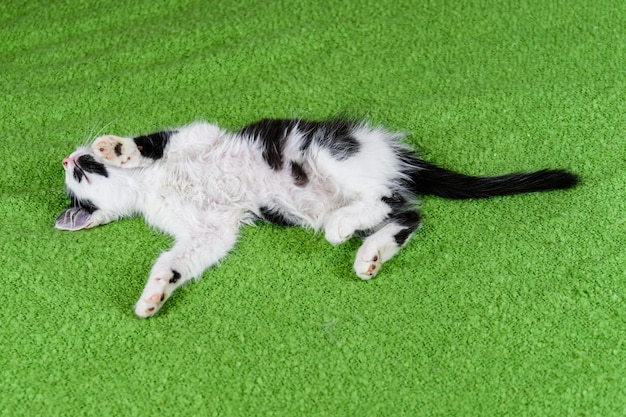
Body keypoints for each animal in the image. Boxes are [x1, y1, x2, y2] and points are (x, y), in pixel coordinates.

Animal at [53, 118, 576, 316]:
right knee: (404, 210)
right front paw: (155, 295)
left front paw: (118, 148)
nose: (67, 159)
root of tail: (390, 150)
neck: (152, 186)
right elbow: (182, 257)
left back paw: (344, 229)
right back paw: (368, 254)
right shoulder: (210, 229)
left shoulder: (199, 134)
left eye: (81, 168)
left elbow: (156, 141)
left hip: (324, 151)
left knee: (383, 196)